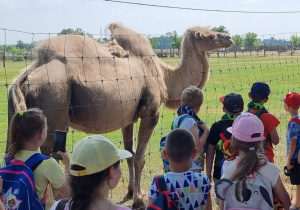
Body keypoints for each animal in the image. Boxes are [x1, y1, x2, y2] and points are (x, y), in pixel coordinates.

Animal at [6, 23, 232, 208]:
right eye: (205, 35)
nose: (228, 37)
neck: (164, 76)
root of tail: (26, 75)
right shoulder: (150, 112)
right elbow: (139, 157)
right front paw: (138, 200)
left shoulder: (128, 117)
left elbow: (129, 153)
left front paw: (131, 192)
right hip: (54, 105)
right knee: (46, 154)